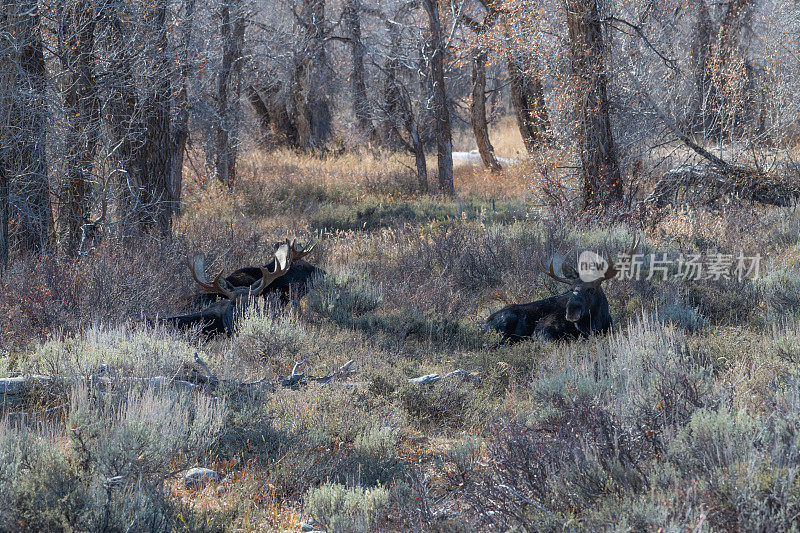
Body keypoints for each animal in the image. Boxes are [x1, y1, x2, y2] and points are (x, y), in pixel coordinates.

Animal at [482, 239, 636, 342]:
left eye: (591, 289)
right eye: (571, 289)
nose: (572, 311)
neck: (595, 322)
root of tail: (483, 325)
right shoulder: (542, 330)